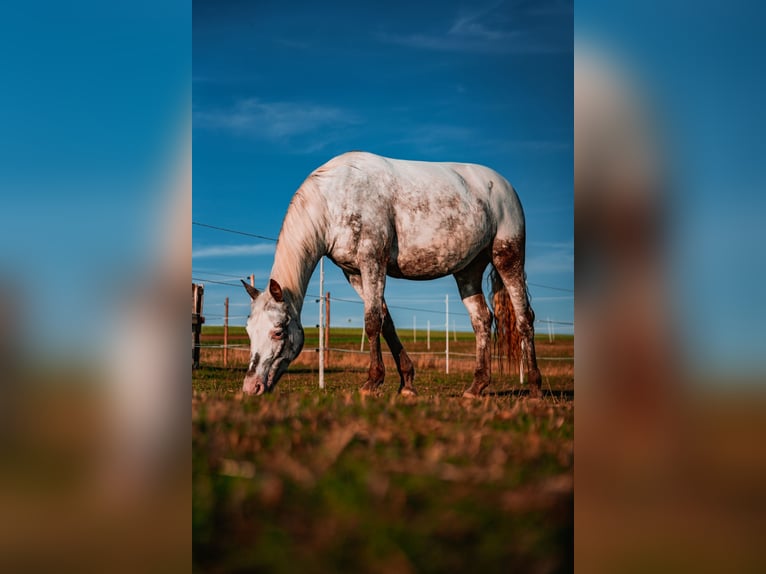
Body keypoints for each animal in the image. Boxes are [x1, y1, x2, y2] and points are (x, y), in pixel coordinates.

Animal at [243, 153, 544, 400]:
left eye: (279, 331)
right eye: (248, 330)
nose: (251, 388)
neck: (335, 198)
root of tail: (503, 186)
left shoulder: (372, 260)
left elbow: (372, 321)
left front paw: (372, 382)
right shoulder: (354, 272)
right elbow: (385, 322)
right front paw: (407, 383)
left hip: (508, 257)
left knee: (524, 319)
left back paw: (535, 388)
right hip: (468, 271)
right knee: (482, 320)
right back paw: (476, 387)